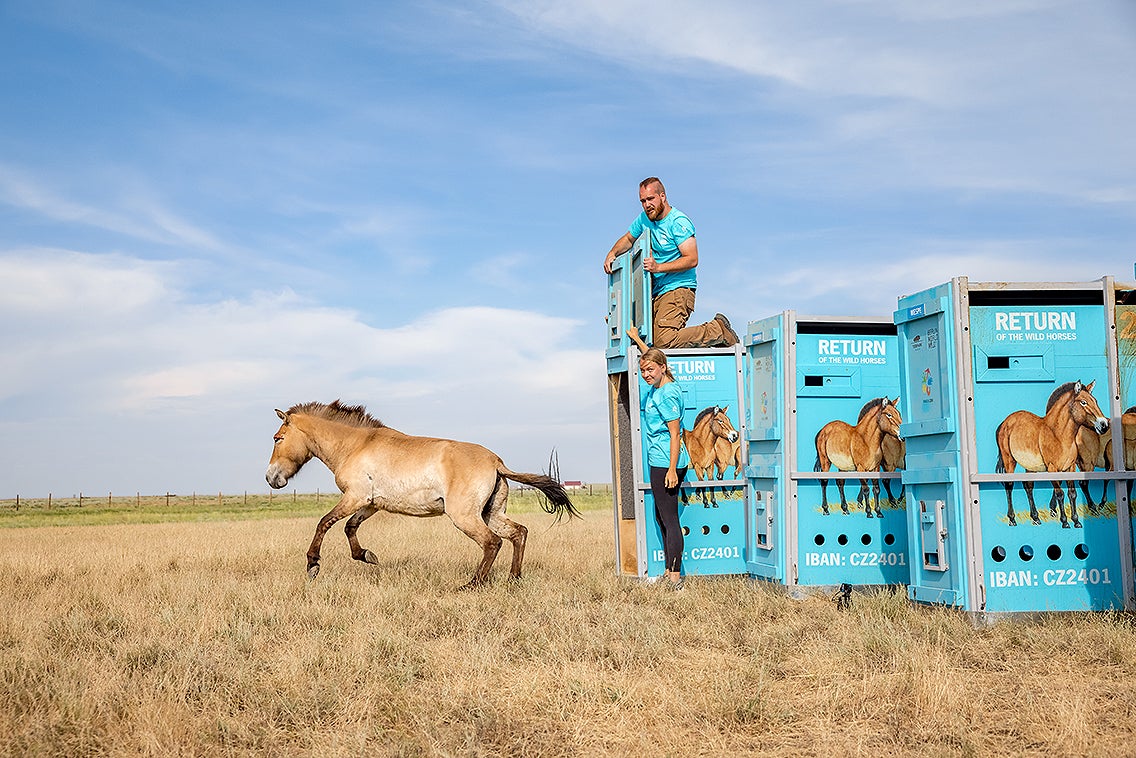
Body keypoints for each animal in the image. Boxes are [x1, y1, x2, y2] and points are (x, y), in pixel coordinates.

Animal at [265, 402, 581, 586]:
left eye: (278, 438)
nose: (271, 478)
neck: (356, 445)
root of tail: (496, 462)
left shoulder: (354, 497)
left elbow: (325, 523)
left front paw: (313, 565)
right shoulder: (371, 503)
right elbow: (349, 527)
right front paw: (367, 556)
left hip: (465, 516)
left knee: (492, 543)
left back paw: (473, 584)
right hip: (491, 513)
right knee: (518, 533)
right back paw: (514, 580)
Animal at [999, 379, 1104, 527]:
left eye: (1095, 400)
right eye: (1083, 402)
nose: (1104, 424)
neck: (1058, 435)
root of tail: (1006, 421)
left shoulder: (1070, 467)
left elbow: (1072, 493)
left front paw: (1076, 521)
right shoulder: (1052, 468)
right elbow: (1059, 493)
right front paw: (1065, 522)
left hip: (1030, 466)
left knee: (1028, 486)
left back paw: (1036, 518)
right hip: (1009, 460)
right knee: (1009, 485)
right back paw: (1012, 519)